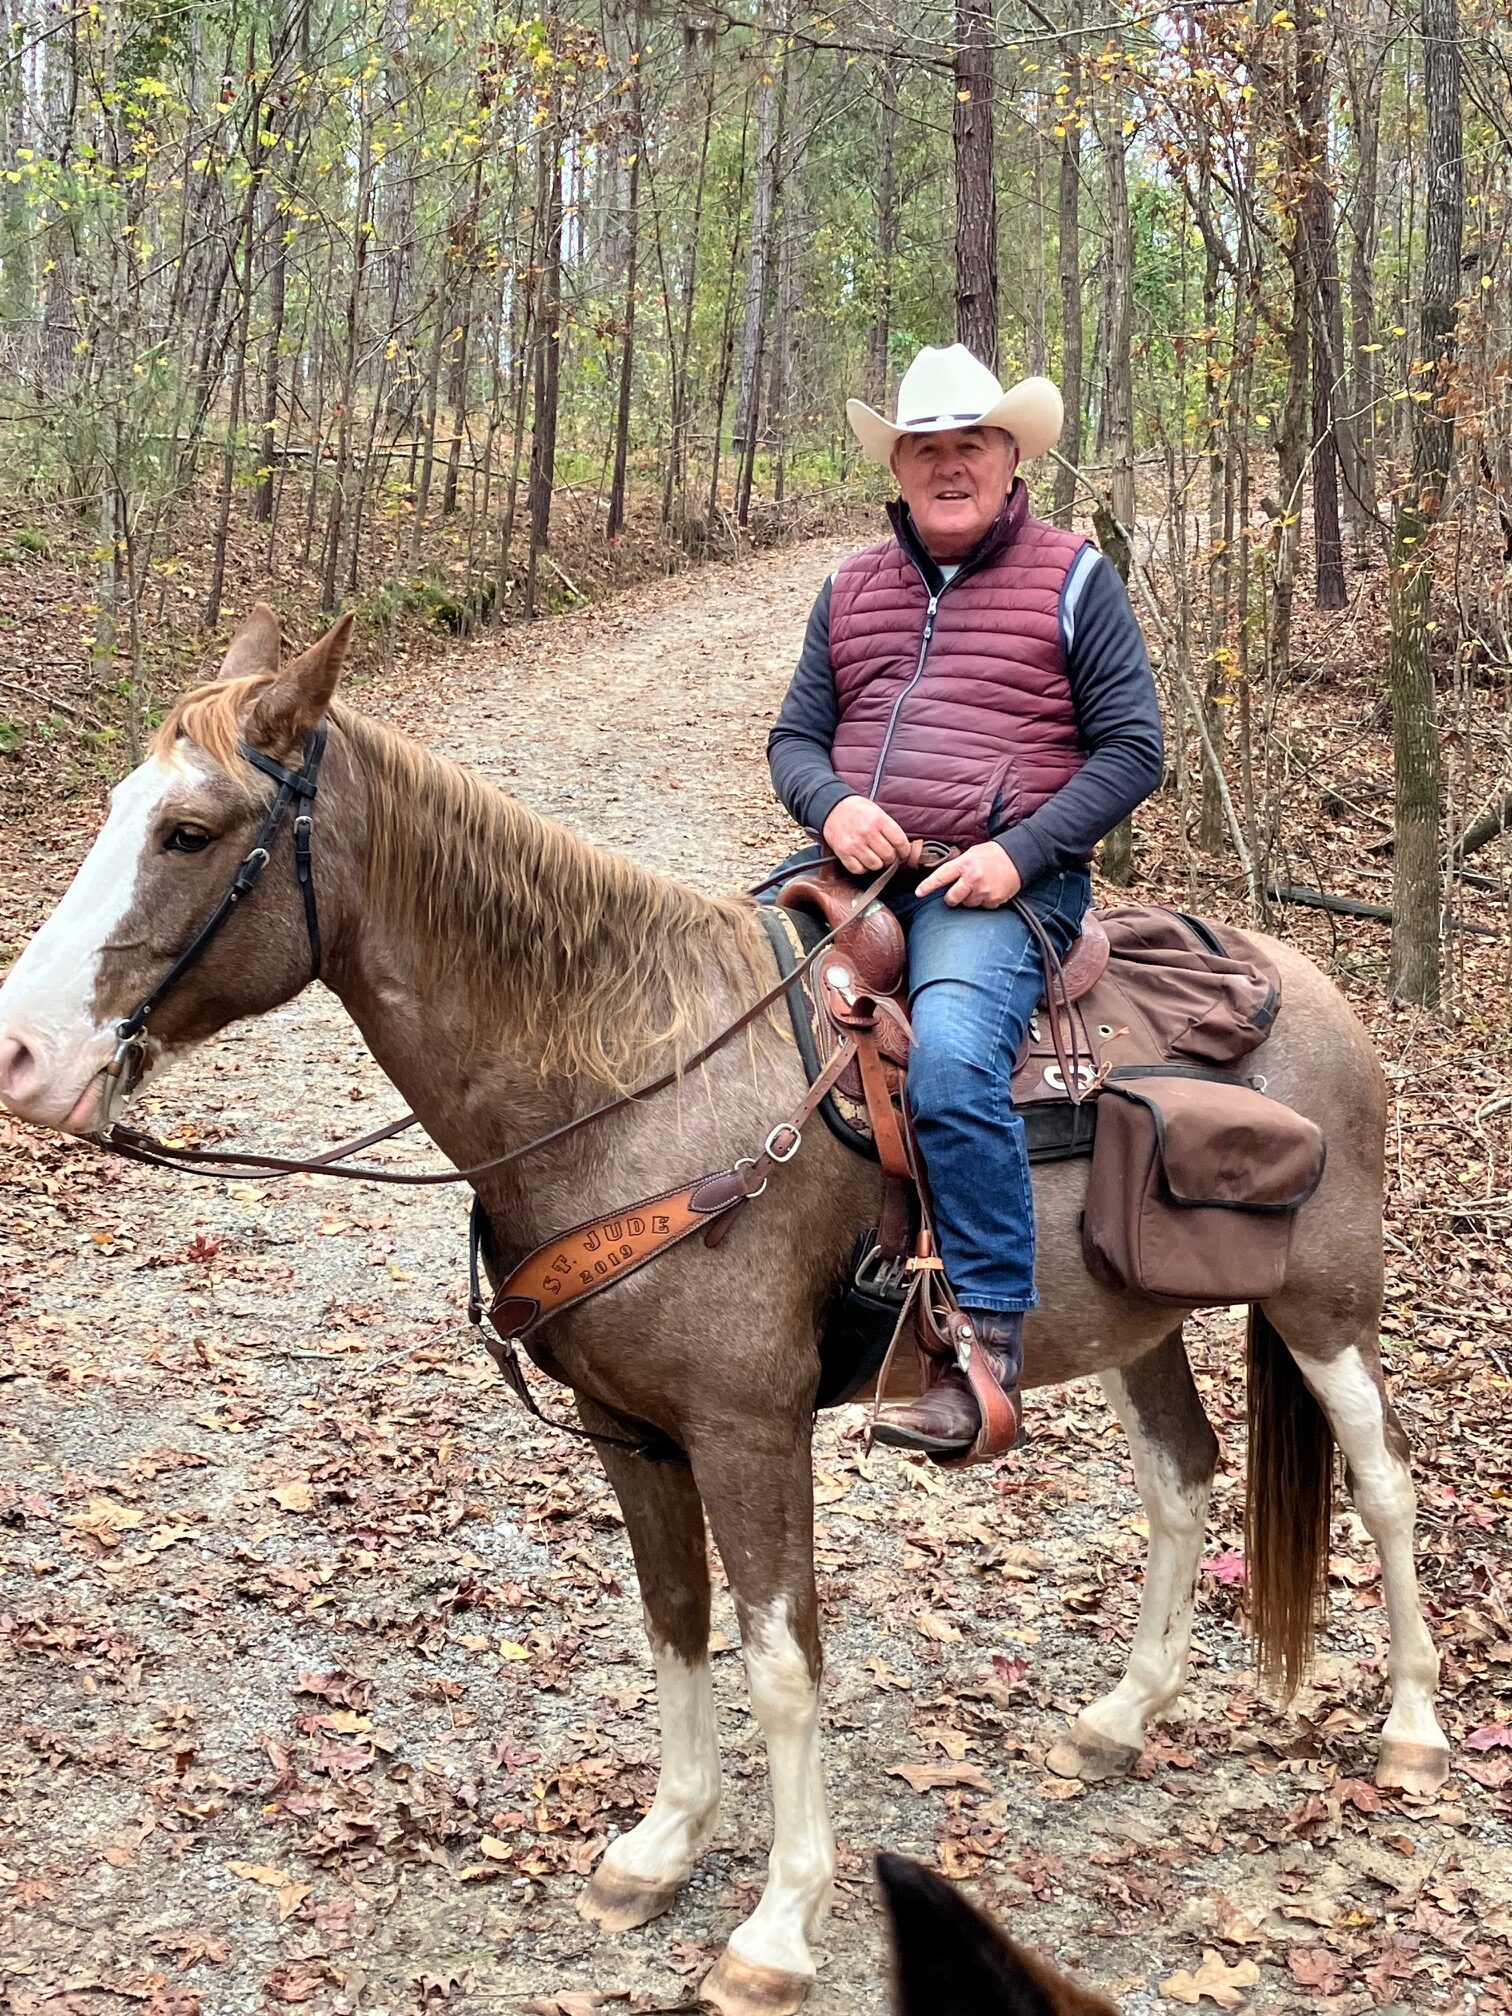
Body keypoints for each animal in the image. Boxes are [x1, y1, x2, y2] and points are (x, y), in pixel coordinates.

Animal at [0, 608, 1450, 2016]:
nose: (22, 1055)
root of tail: (1315, 988)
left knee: (1384, 1482)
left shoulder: (750, 1429)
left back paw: (1415, 1734)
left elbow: (781, 1656)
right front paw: (662, 1846)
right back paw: (1120, 1718)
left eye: (191, 831)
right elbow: (674, 1618)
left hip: (1325, 1305)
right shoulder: (628, 1429)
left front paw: (778, 1925)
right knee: (1181, 1480)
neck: (632, 1085)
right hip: (1134, 1325)